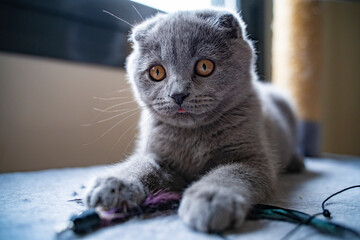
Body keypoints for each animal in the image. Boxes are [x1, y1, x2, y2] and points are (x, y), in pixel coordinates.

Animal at [85, 9, 304, 232]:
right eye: (157, 72)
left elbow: (230, 173)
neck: (192, 137)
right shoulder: (158, 153)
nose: (178, 94)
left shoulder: (254, 159)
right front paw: (113, 183)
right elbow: (143, 163)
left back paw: (297, 163)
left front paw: (211, 199)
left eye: (204, 66)